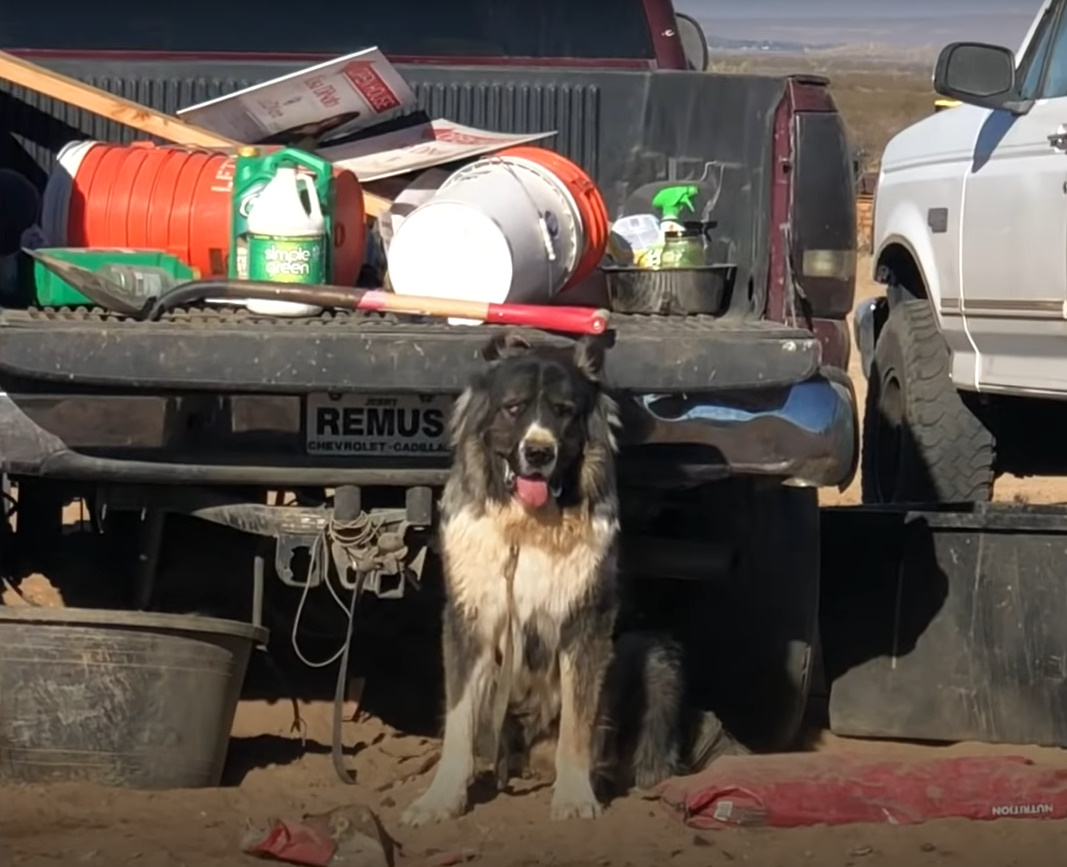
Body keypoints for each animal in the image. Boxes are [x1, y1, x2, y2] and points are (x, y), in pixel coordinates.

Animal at [401, 330, 742, 823]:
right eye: (514, 407)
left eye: (564, 411)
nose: (539, 452)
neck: (527, 526)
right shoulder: (471, 621)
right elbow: (460, 719)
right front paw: (440, 799)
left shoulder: (586, 623)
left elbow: (579, 724)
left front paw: (575, 798)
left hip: (655, 657)